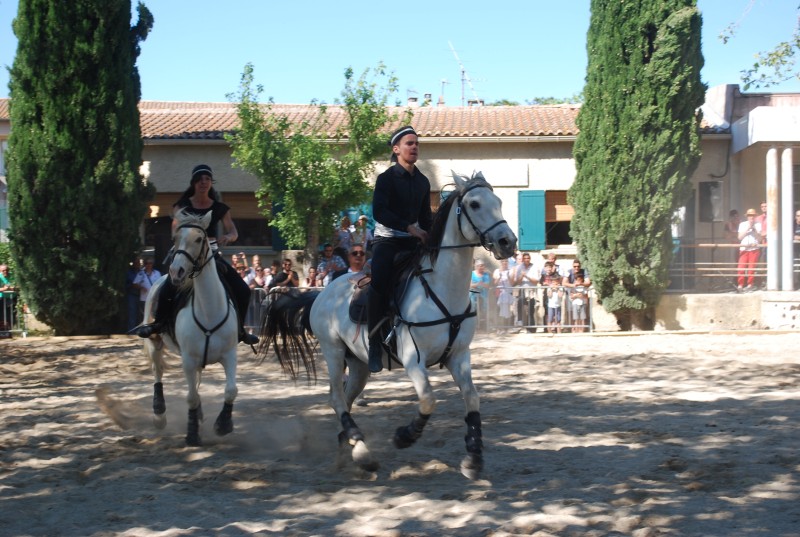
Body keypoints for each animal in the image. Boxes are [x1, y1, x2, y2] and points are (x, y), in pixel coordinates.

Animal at [143, 208, 238, 444]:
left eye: (199, 239)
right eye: (175, 238)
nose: (176, 271)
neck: (209, 310)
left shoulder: (230, 354)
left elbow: (231, 390)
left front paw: (223, 424)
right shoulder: (187, 359)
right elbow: (191, 397)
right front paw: (192, 433)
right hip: (154, 342)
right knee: (157, 372)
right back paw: (159, 415)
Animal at [260, 172, 516, 478]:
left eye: (499, 201)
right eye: (475, 204)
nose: (508, 242)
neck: (442, 289)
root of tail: (321, 293)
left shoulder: (459, 355)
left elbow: (472, 398)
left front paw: (474, 456)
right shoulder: (412, 358)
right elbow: (428, 399)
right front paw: (405, 436)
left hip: (358, 365)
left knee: (345, 399)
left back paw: (351, 448)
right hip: (333, 351)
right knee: (336, 398)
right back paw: (360, 448)